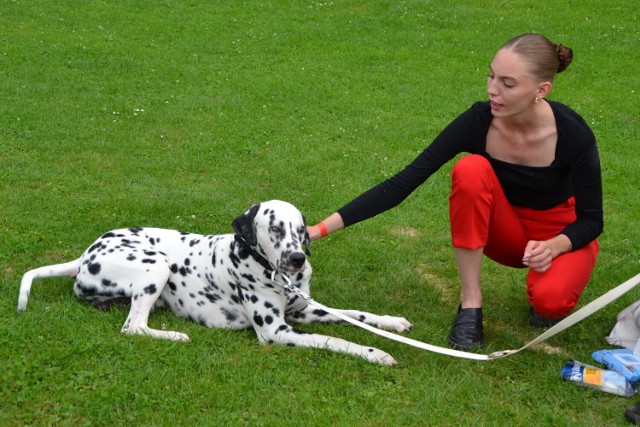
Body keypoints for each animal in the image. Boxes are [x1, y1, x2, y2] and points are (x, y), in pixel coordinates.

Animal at [18, 202, 416, 366]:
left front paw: (392, 323)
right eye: (275, 228)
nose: (297, 259)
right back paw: (175, 335)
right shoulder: (278, 331)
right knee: (134, 327)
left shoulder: (304, 313)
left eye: (300, 229)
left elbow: (356, 315)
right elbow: (337, 340)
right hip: (156, 265)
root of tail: (85, 254)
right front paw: (376, 353)